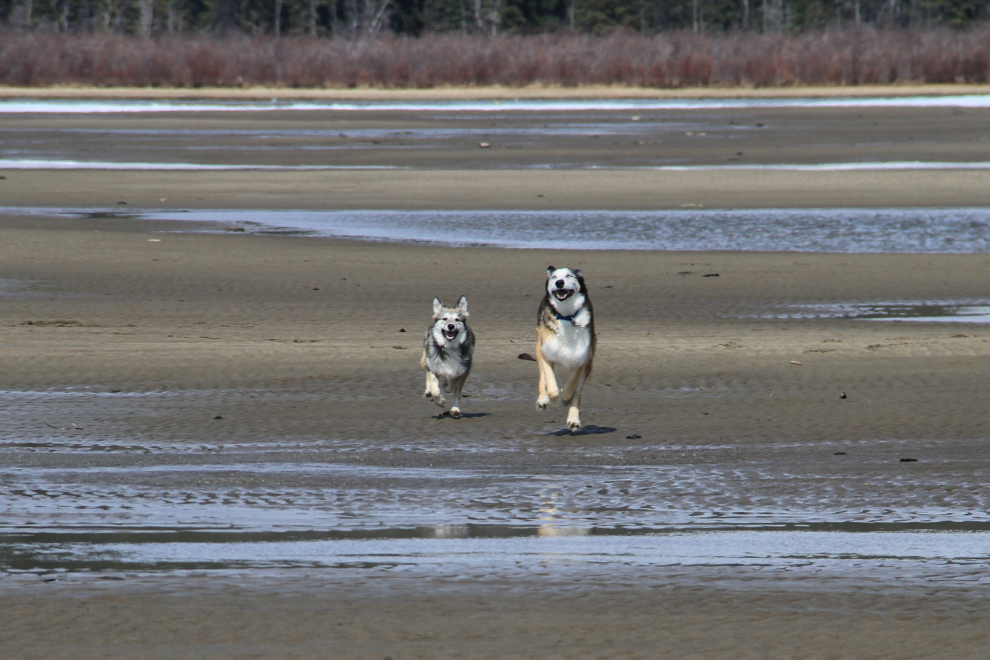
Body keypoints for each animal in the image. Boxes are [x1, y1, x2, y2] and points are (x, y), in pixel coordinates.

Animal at [536, 266, 596, 430]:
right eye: (554, 277)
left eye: (569, 276)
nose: (560, 282)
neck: (566, 316)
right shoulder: (546, 354)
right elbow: (552, 387)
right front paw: (555, 400)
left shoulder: (581, 360)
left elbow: (571, 388)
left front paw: (565, 399)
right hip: (538, 347)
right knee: (542, 379)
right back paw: (543, 400)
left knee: (577, 393)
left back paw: (573, 419)